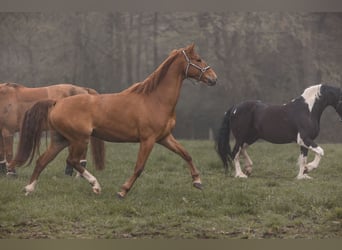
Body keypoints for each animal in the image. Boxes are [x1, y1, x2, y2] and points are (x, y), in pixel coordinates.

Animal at [9, 44, 218, 198]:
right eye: (198, 59)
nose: (213, 79)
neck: (155, 99)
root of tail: (57, 102)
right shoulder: (148, 140)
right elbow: (139, 167)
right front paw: (122, 191)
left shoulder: (164, 137)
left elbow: (186, 154)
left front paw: (197, 182)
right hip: (79, 139)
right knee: (72, 161)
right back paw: (96, 186)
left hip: (61, 140)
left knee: (42, 160)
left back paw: (29, 189)